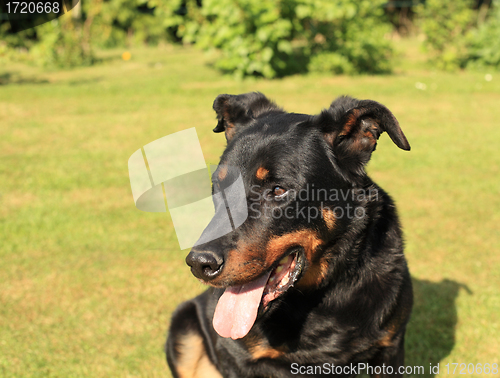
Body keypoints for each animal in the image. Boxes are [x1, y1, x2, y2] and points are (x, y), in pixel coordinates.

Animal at [166, 92, 412, 378]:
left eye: (278, 189)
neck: (316, 296)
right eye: (218, 185)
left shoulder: (390, 349)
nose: (199, 263)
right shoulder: (236, 357)